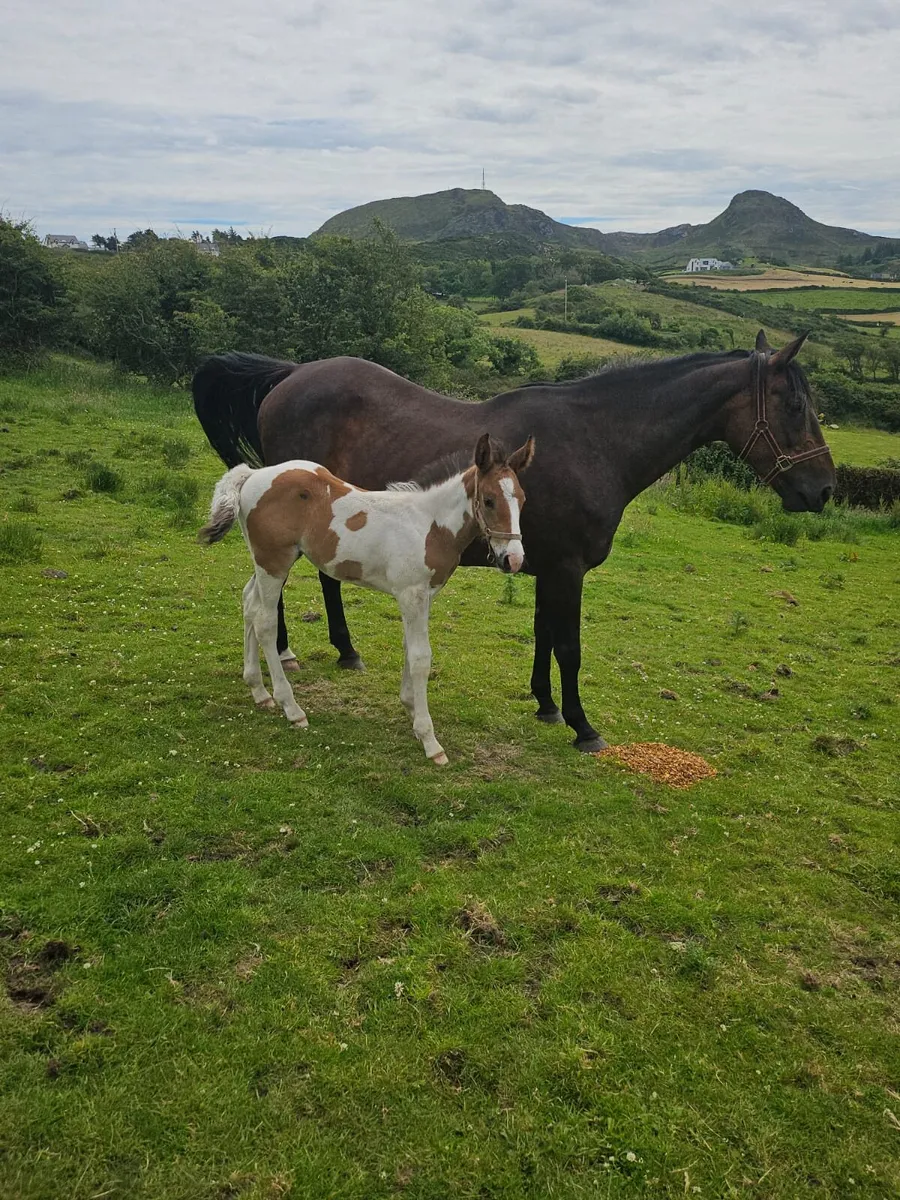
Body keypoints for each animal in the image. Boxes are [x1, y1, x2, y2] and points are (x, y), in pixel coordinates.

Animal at [198, 433, 535, 764]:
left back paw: (258, 691)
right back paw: (291, 708)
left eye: (522, 499)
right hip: (274, 562)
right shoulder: (411, 594)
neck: (427, 526)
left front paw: (411, 709)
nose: (514, 560)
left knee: (249, 604)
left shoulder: (422, 597)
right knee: (265, 621)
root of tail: (253, 474)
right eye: (489, 501)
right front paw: (430, 740)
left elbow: (408, 648)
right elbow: (420, 657)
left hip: (269, 563)